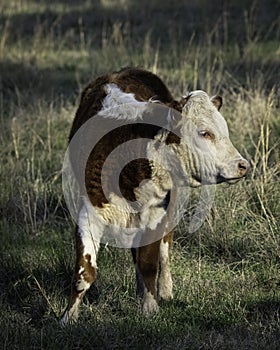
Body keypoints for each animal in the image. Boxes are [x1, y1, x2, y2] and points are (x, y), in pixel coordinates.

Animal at [60, 67, 249, 324]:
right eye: (205, 133)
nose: (243, 165)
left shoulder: (156, 213)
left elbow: (150, 263)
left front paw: (150, 309)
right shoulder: (89, 211)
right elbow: (84, 273)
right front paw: (68, 317)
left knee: (165, 250)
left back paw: (165, 291)